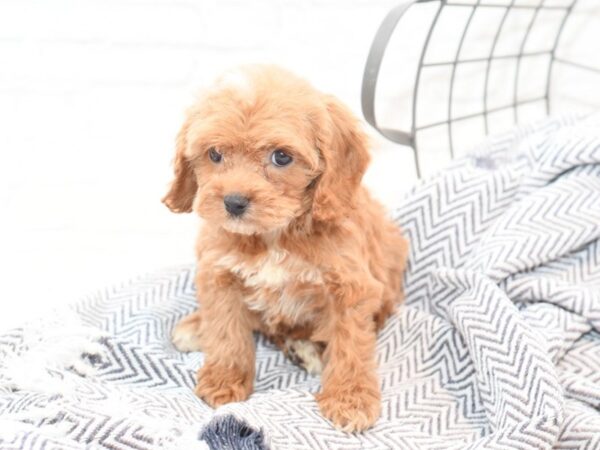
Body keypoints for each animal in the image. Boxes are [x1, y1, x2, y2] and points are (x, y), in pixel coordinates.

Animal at [164, 64, 408, 432]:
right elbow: (226, 330)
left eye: (281, 156)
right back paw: (197, 326)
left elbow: (351, 344)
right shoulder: (218, 273)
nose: (233, 202)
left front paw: (350, 399)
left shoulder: (350, 287)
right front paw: (224, 380)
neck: (274, 236)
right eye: (215, 154)